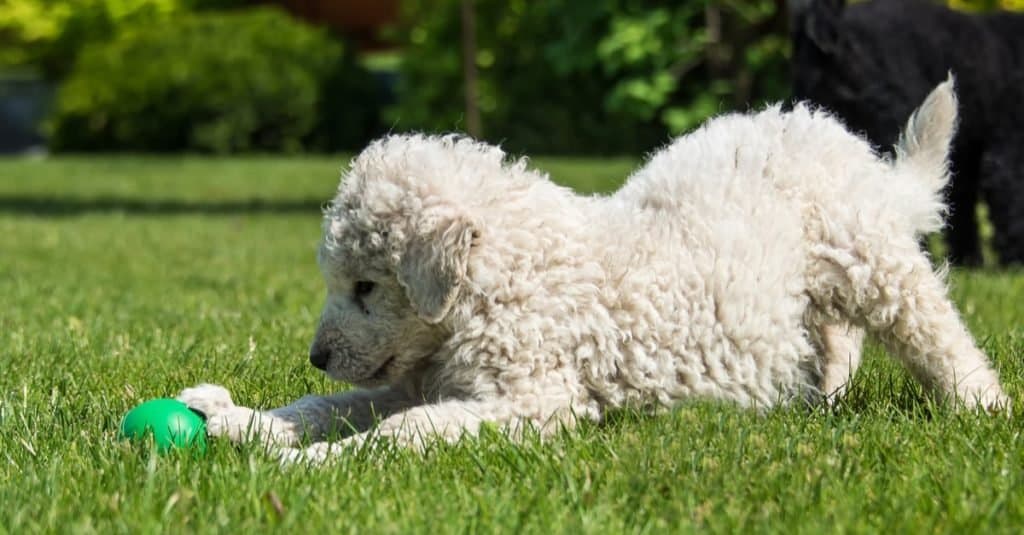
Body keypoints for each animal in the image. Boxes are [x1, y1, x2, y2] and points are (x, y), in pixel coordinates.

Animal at [178, 76, 1007, 459]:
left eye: (365, 286)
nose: (317, 353)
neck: (499, 278)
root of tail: (826, 132)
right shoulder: (416, 373)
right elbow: (329, 405)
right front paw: (241, 421)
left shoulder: (535, 398)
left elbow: (403, 430)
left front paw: (314, 465)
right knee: (833, 342)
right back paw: (813, 397)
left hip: (869, 258)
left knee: (935, 329)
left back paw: (982, 405)